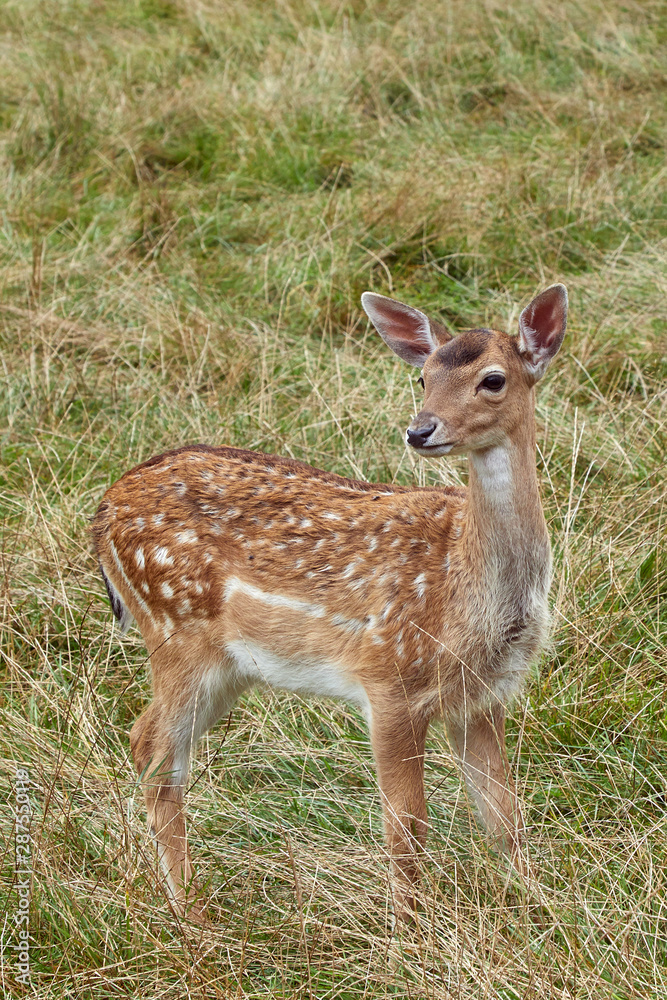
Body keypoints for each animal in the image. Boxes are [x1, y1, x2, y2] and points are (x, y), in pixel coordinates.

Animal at [92, 282, 568, 920]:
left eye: (493, 380)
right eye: (423, 378)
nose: (420, 430)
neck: (465, 590)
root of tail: (101, 514)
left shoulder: (482, 696)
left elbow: (504, 815)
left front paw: (543, 911)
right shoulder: (389, 681)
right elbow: (407, 826)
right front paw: (409, 930)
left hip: (227, 667)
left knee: (154, 748)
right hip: (176, 630)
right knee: (153, 752)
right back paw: (190, 910)